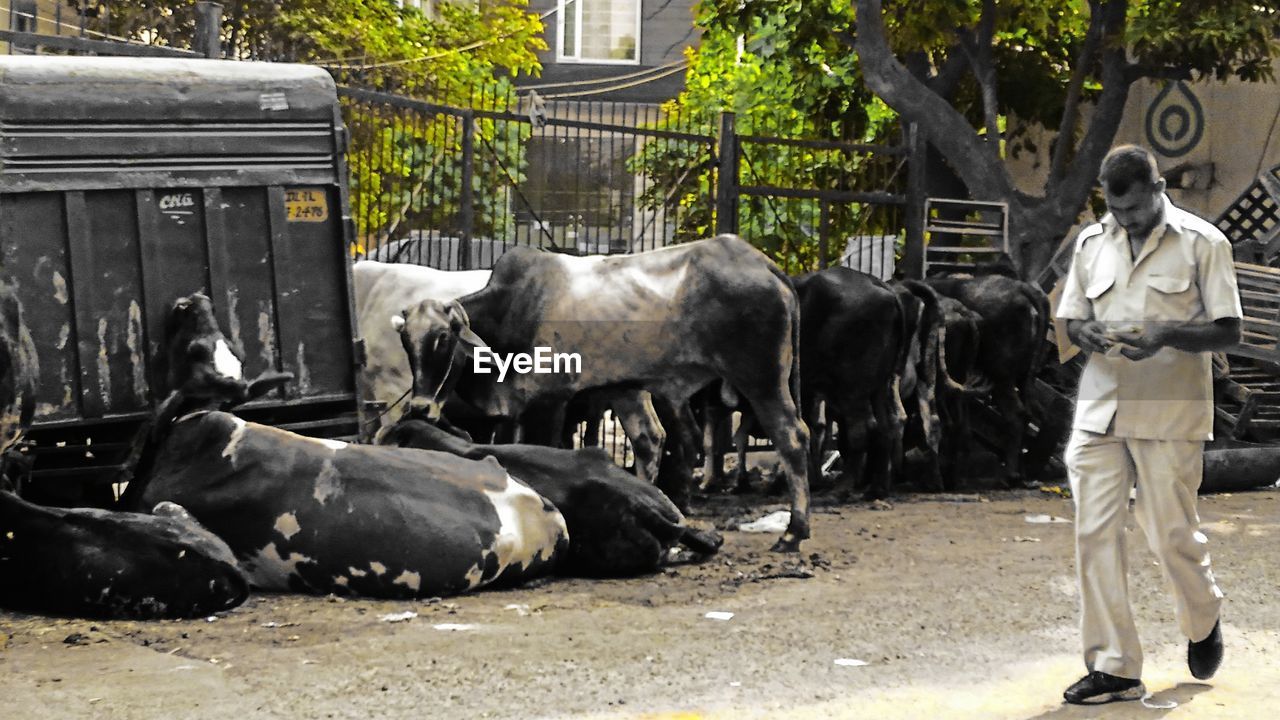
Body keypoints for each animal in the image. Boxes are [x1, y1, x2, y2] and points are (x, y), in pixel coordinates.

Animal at [394, 235, 808, 548]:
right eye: (407, 343)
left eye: (444, 339)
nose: (421, 407)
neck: (513, 307)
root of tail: (763, 265)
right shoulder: (615, 391)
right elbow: (646, 440)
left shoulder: (550, 401)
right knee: (652, 441)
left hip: (762, 379)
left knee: (792, 437)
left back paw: (794, 531)